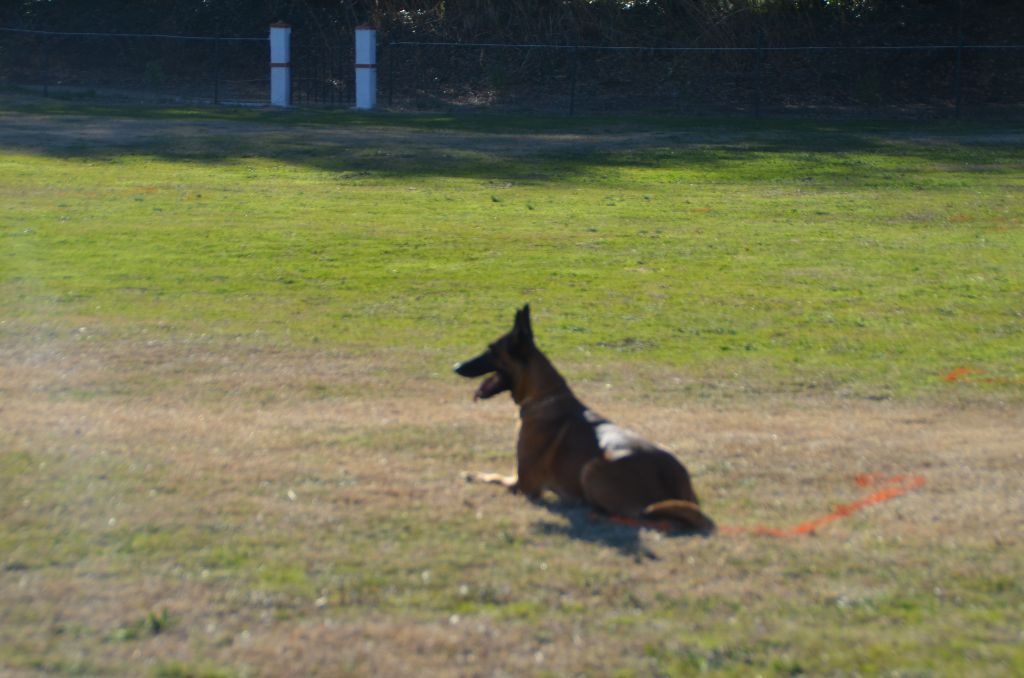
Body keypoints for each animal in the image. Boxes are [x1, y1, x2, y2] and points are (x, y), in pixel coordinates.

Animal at [452, 303, 716, 536]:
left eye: (491, 350)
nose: (456, 366)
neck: (544, 397)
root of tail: (673, 481)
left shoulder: (523, 484)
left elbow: (493, 476)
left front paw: (472, 474)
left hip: (593, 467)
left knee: (639, 518)